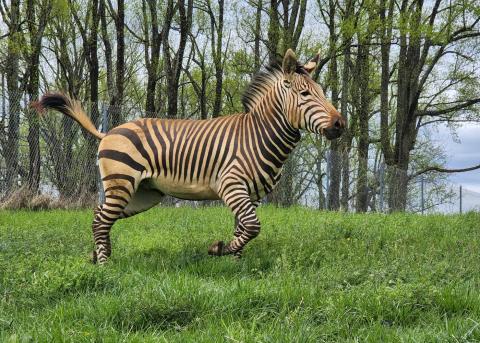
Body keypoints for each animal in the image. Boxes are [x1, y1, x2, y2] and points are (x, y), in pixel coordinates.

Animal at [34, 48, 344, 264]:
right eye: (305, 95)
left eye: (322, 92)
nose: (340, 124)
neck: (258, 135)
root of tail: (107, 132)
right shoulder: (231, 185)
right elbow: (253, 226)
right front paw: (218, 250)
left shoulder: (251, 194)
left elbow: (243, 227)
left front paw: (236, 263)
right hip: (122, 184)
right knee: (101, 220)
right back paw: (104, 264)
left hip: (143, 194)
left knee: (100, 216)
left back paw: (98, 256)